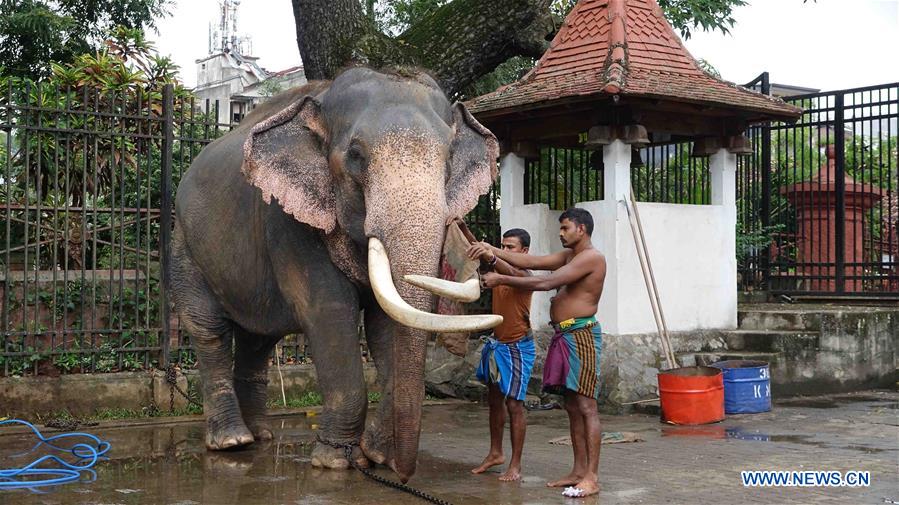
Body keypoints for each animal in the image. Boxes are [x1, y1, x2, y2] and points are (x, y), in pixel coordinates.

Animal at [170, 66, 502, 482]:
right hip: (184, 245)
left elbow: (384, 323)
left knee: (259, 338)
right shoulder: (290, 223)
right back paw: (232, 442)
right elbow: (330, 313)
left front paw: (374, 455)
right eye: (356, 155)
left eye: (449, 159)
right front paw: (336, 460)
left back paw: (261, 436)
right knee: (208, 329)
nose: (403, 475)